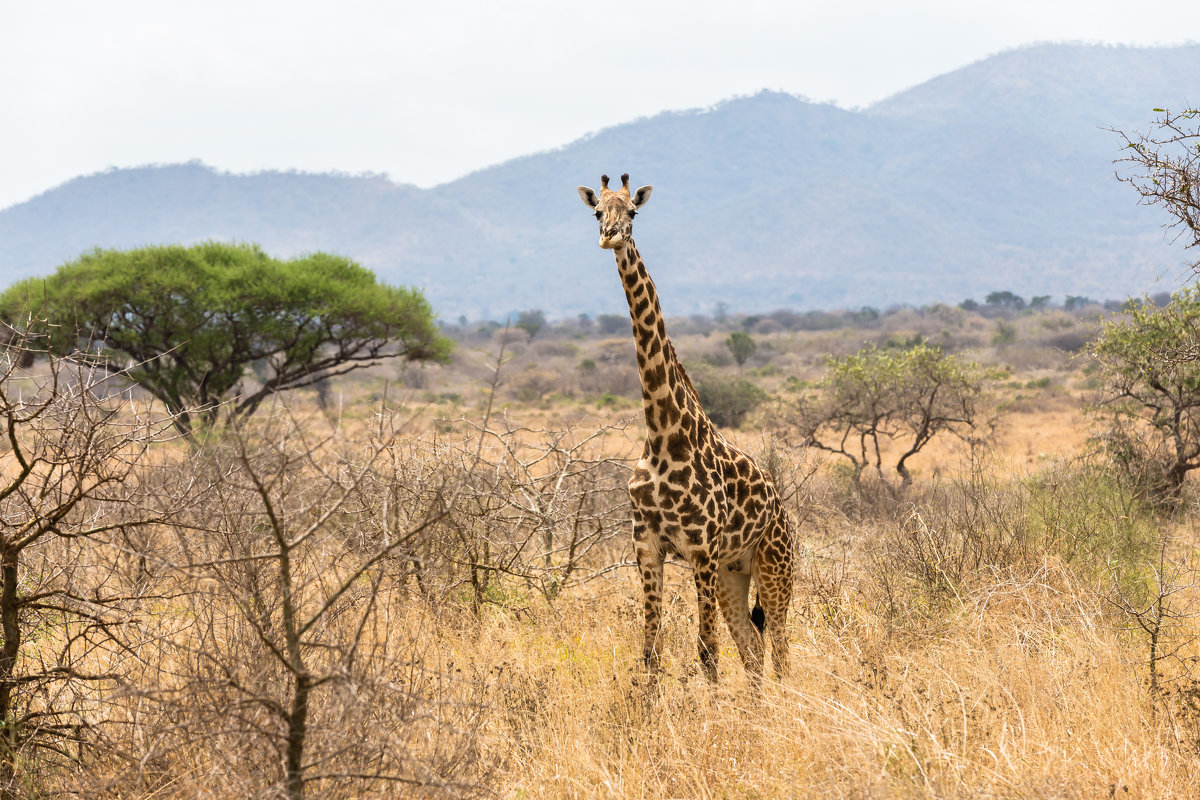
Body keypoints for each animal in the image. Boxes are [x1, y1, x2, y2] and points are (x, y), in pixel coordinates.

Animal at [576, 173, 792, 681]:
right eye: (597, 212)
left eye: (633, 212)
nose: (610, 236)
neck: (661, 433)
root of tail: (783, 510)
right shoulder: (647, 544)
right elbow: (651, 653)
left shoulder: (701, 548)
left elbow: (706, 651)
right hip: (736, 571)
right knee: (752, 648)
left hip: (774, 567)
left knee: (779, 649)